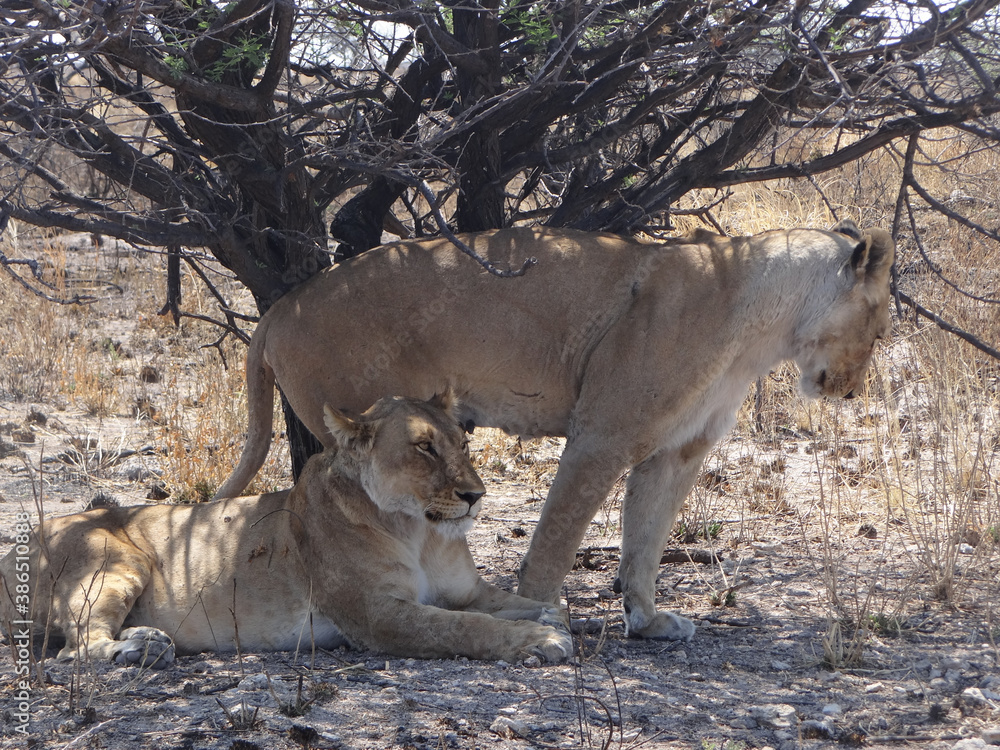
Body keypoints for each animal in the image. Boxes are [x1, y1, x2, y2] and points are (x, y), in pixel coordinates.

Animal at [0, 394, 572, 667]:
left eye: (463, 442)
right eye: (424, 447)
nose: (476, 495)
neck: (420, 531)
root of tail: (13, 551)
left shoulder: (468, 590)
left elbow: (511, 603)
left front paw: (552, 616)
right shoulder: (377, 615)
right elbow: (464, 627)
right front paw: (541, 639)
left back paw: (146, 641)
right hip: (115, 560)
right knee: (74, 649)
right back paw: (138, 651)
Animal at [215, 220, 895, 641]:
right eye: (882, 324)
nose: (851, 389)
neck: (760, 324)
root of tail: (280, 306)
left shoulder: (678, 452)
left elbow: (646, 538)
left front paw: (648, 621)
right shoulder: (602, 434)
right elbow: (560, 538)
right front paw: (541, 613)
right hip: (358, 426)